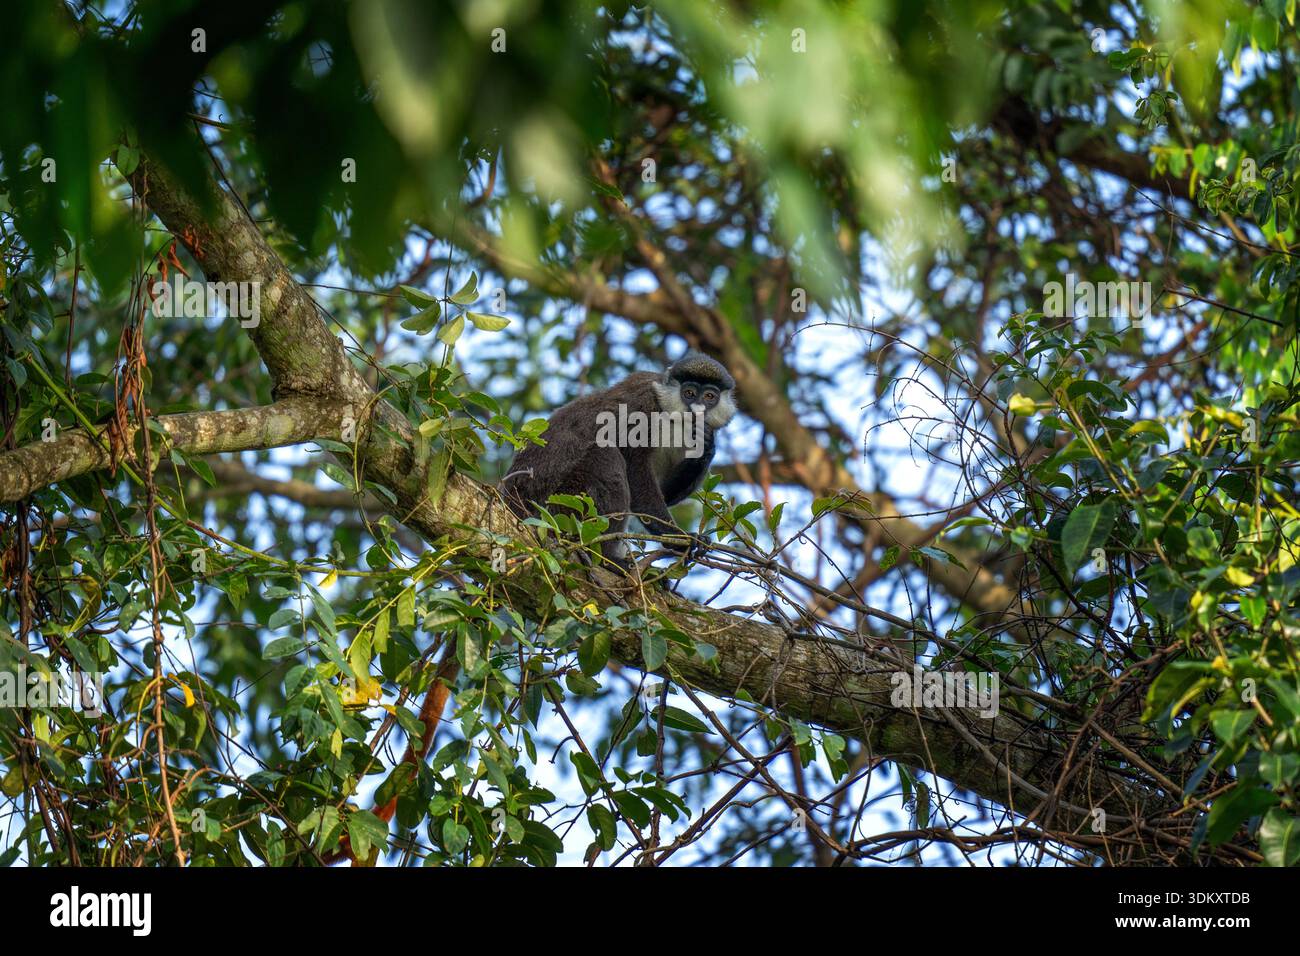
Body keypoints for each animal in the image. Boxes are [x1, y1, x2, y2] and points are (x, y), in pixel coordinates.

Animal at [501, 352, 737, 569]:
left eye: (709, 396)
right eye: (689, 393)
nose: (697, 410)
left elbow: (665, 493)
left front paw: (707, 446)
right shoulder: (643, 408)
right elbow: (638, 478)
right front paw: (680, 539)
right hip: (555, 511)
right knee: (605, 456)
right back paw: (606, 559)